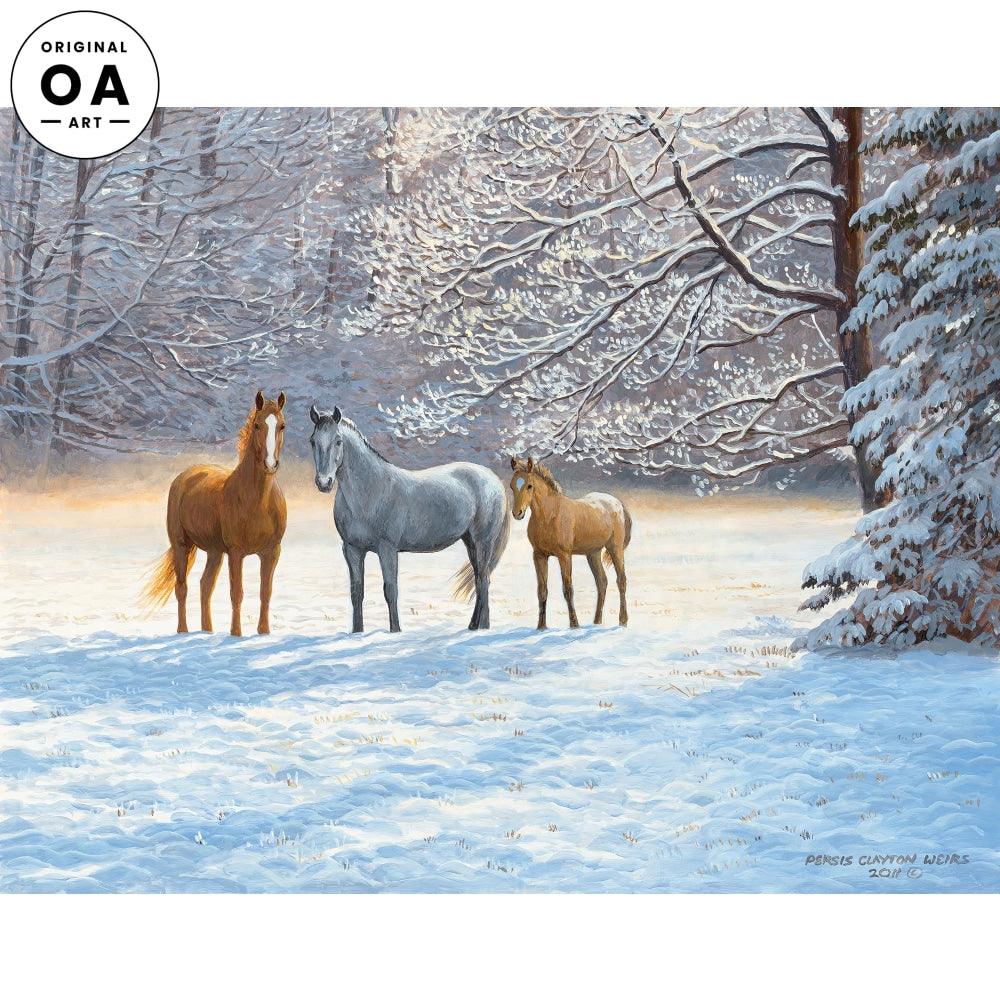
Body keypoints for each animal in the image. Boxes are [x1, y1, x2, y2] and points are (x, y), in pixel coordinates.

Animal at [141, 391, 288, 636]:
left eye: (282, 425)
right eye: (257, 425)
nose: (270, 465)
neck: (258, 501)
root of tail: (185, 475)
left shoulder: (271, 552)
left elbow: (265, 592)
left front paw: (263, 632)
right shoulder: (236, 553)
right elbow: (236, 593)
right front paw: (236, 635)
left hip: (215, 551)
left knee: (205, 585)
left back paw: (207, 631)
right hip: (182, 546)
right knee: (182, 588)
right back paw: (183, 631)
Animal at [309, 405, 510, 633]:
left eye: (338, 441)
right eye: (313, 440)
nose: (324, 482)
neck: (370, 490)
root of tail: (494, 480)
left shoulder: (387, 549)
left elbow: (390, 590)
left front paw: (395, 631)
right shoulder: (352, 549)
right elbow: (356, 592)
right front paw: (357, 632)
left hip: (483, 541)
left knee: (484, 581)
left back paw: (483, 627)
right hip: (470, 543)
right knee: (478, 579)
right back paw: (473, 626)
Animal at [509, 457, 631, 630]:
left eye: (529, 485)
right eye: (512, 485)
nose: (517, 513)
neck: (549, 515)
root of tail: (618, 504)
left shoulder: (564, 555)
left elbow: (568, 589)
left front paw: (574, 625)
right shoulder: (539, 555)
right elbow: (542, 590)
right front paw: (541, 627)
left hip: (615, 549)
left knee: (621, 580)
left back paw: (623, 621)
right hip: (593, 553)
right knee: (602, 582)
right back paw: (596, 622)